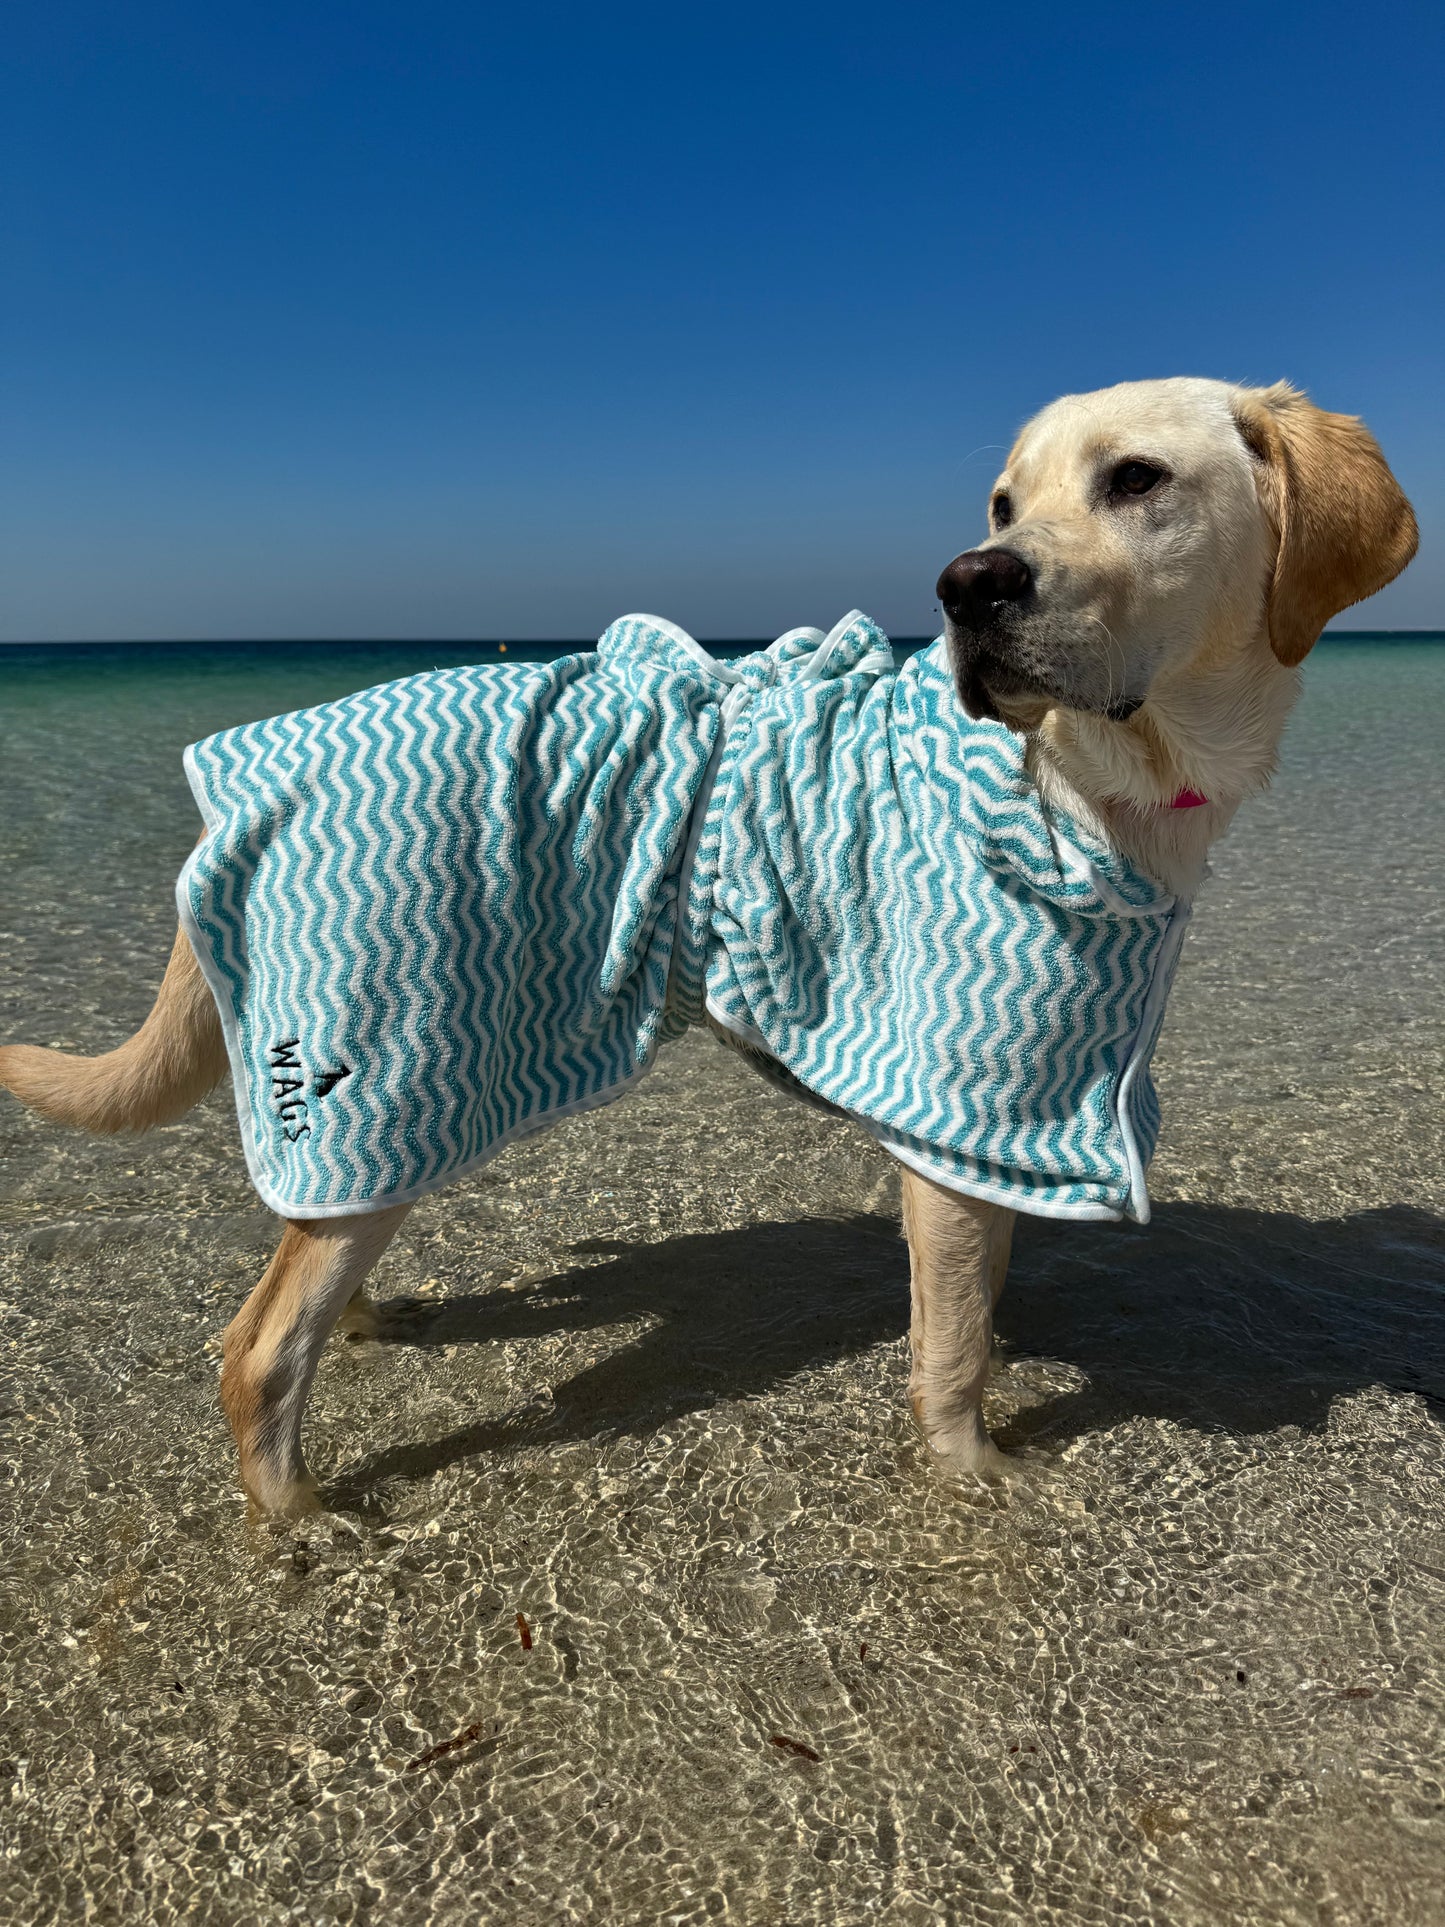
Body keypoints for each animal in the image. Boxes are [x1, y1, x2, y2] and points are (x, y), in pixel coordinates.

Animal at [0, 379, 1425, 1518]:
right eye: (1003, 501)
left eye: (1134, 480)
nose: (965, 583)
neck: (1081, 785)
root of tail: (251, 771)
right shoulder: (970, 1104)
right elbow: (952, 1348)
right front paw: (972, 1472)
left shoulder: (991, 1125)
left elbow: (974, 1289)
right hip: (388, 1059)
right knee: (257, 1349)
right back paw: (298, 1516)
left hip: (382, 1127)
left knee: (312, 1241)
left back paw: (362, 1324)